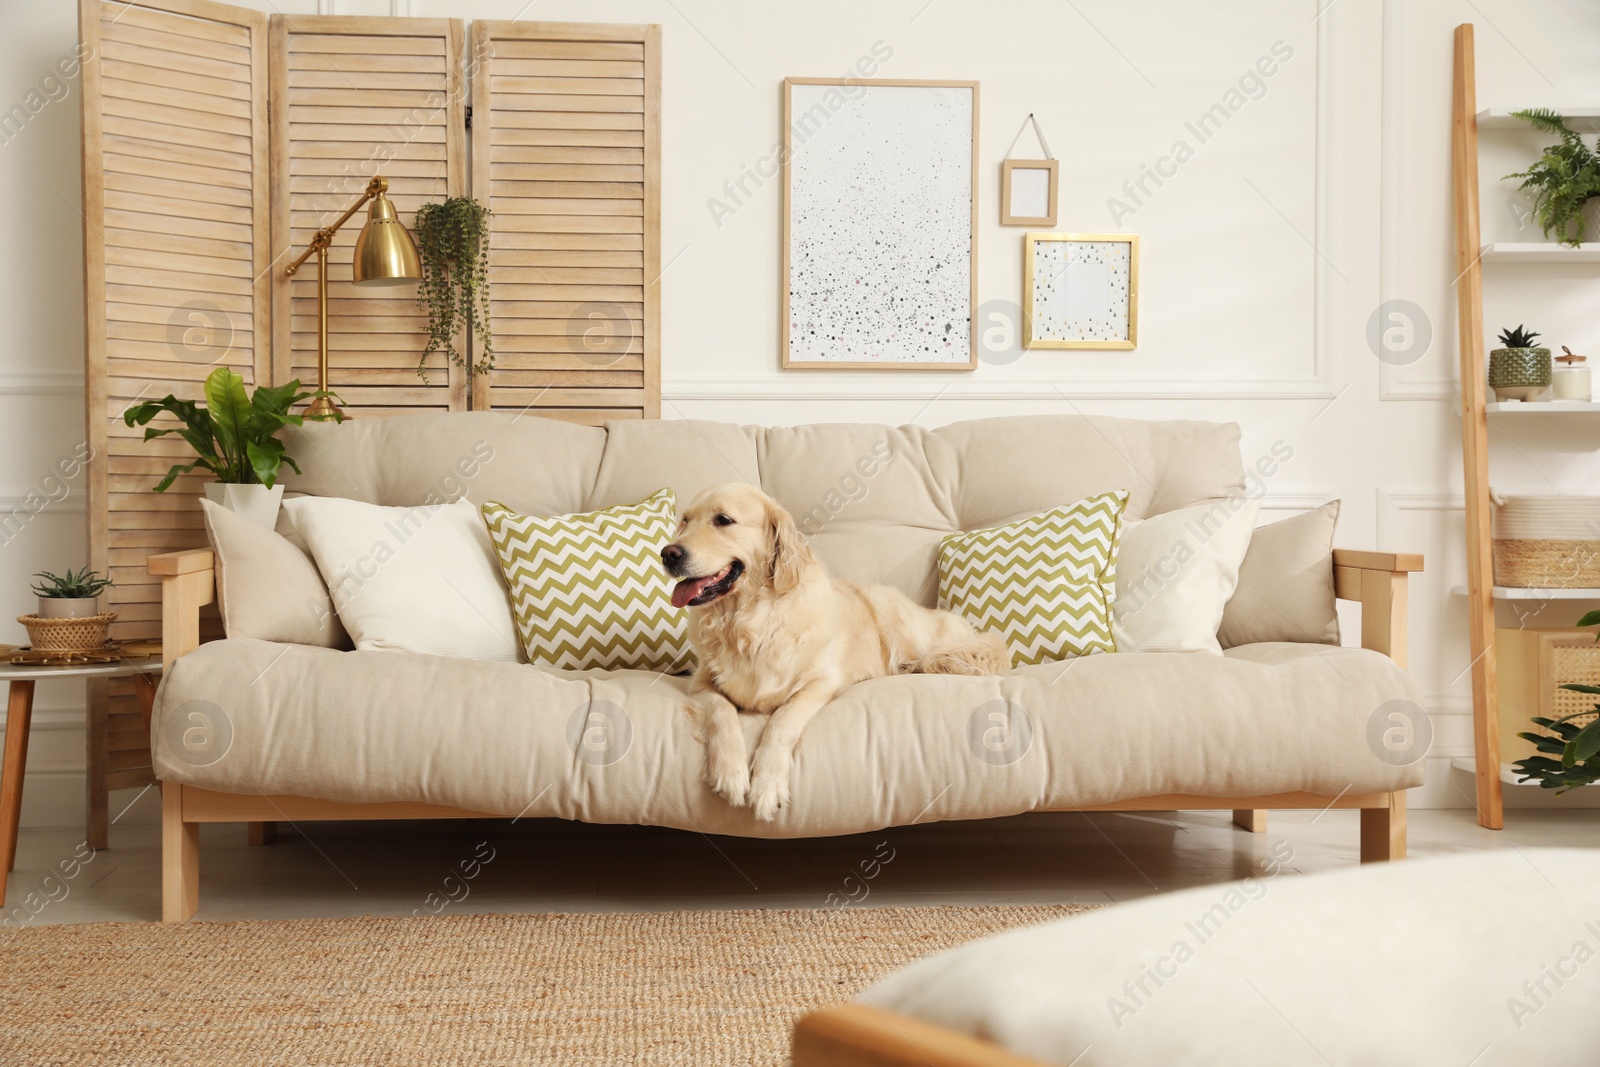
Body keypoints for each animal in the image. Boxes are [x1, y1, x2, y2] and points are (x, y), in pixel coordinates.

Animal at [659, 479, 1004, 825]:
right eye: (685, 521)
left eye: (723, 520)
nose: (668, 554)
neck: (747, 622)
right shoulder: (700, 683)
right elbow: (722, 712)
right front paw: (730, 772)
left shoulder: (820, 682)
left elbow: (782, 720)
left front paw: (767, 784)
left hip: (905, 626)